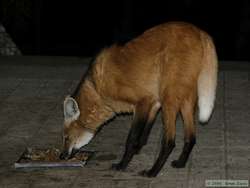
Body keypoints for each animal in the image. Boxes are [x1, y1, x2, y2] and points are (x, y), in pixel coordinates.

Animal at [60, 21, 217, 176]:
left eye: (66, 138)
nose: (62, 156)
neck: (97, 89)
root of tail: (200, 32)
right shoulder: (154, 102)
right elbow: (144, 134)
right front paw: (136, 150)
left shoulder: (143, 101)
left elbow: (132, 138)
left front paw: (122, 164)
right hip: (185, 100)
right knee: (191, 137)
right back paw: (180, 163)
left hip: (169, 98)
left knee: (169, 141)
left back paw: (152, 172)